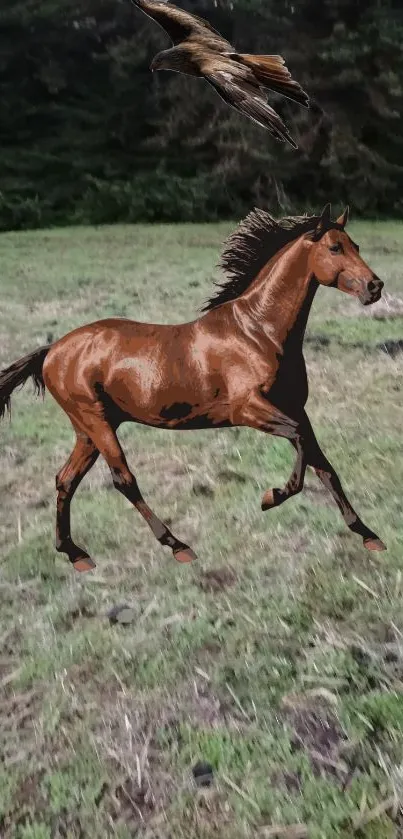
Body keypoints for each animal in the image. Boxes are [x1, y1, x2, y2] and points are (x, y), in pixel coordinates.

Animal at [0, 204, 388, 576]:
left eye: (356, 245)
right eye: (335, 247)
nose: (375, 286)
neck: (259, 332)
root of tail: (52, 350)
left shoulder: (296, 408)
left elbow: (323, 464)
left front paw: (369, 535)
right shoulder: (249, 410)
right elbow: (301, 446)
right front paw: (271, 497)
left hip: (88, 430)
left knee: (65, 480)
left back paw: (74, 553)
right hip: (96, 422)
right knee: (123, 479)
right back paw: (178, 546)